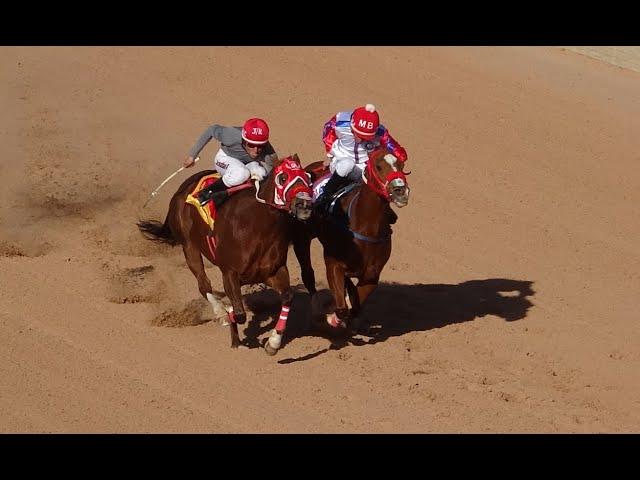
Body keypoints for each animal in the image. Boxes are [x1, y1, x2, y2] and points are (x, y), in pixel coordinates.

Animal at [138, 156, 316, 354]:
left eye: (308, 177)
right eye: (283, 178)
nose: (304, 204)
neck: (257, 226)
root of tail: (183, 188)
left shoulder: (273, 271)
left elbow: (287, 297)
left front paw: (273, 343)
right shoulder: (230, 272)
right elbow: (239, 314)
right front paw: (232, 326)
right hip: (189, 247)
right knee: (203, 284)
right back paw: (221, 313)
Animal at [296, 150, 410, 334]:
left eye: (401, 165)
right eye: (378, 166)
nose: (400, 191)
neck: (366, 227)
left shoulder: (372, 275)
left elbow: (356, 306)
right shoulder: (333, 264)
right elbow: (342, 308)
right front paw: (332, 318)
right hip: (302, 238)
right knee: (308, 274)